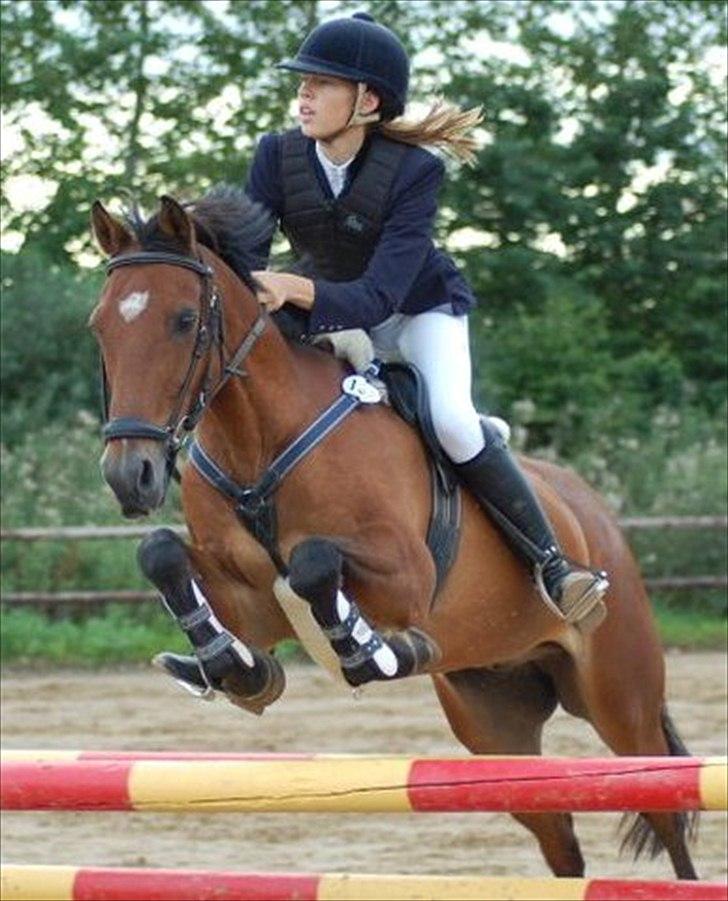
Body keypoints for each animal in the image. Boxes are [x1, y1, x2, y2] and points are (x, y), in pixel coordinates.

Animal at [89, 186, 697, 880]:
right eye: (100, 326)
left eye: (184, 319)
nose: (129, 476)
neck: (260, 441)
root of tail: (595, 515)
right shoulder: (248, 601)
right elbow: (162, 553)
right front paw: (235, 668)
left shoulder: (404, 580)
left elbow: (314, 563)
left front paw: (378, 652)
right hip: (495, 722)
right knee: (559, 837)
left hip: (622, 701)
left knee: (666, 812)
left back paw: (564, 584)